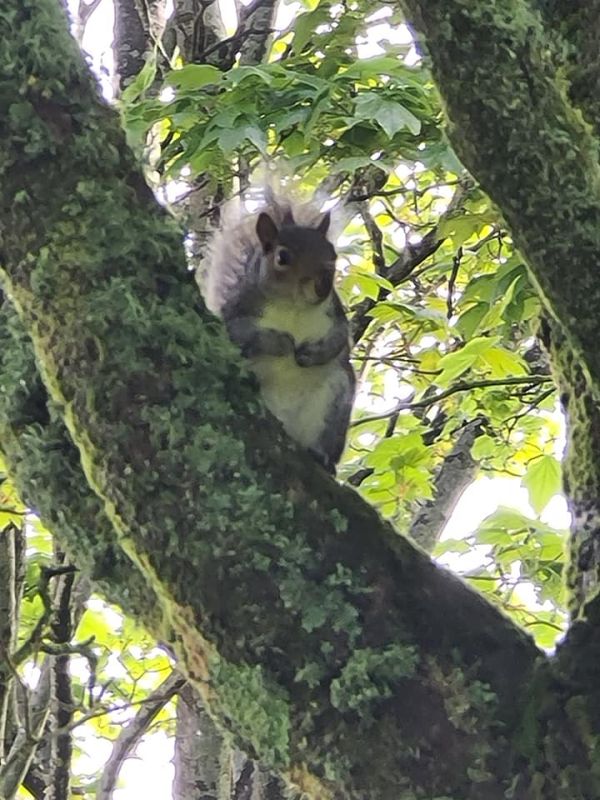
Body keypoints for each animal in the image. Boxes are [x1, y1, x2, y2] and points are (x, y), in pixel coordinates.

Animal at [201, 192, 356, 473]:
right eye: (282, 257)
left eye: (332, 254)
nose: (323, 285)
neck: (293, 306)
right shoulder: (238, 311)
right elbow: (238, 335)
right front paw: (281, 342)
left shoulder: (335, 314)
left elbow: (339, 339)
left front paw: (311, 353)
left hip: (336, 401)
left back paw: (320, 456)